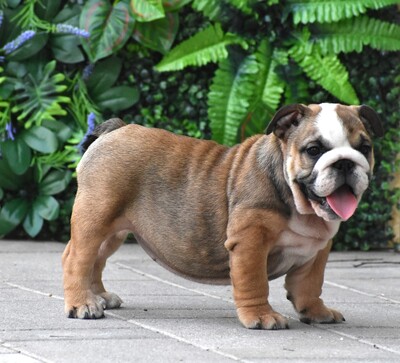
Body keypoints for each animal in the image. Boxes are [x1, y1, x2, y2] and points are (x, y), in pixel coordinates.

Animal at [63, 102, 384, 330]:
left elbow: (309, 285)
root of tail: (116, 130)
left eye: (365, 148)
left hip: (114, 230)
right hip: (96, 217)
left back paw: (99, 296)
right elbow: (254, 282)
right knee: (77, 258)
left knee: (96, 259)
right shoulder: (250, 243)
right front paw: (261, 316)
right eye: (314, 150)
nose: (345, 163)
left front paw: (317, 312)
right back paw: (82, 304)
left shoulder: (316, 253)